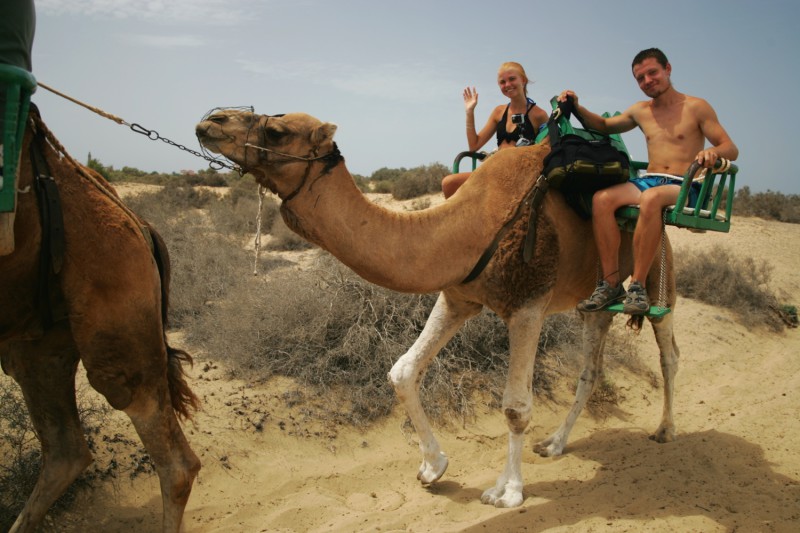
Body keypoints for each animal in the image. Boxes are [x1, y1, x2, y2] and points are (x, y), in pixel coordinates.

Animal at [197, 108, 680, 508]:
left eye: (276, 131)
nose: (210, 121)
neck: (474, 222)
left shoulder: (527, 306)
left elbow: (515, 407)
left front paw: (507, 492)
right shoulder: (458, 297)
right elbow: (403, 371)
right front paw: (433, 467)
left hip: (659, 260)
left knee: (668, 352)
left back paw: (665, 430)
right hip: (591, 300)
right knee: (591, 365)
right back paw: (556, 444)